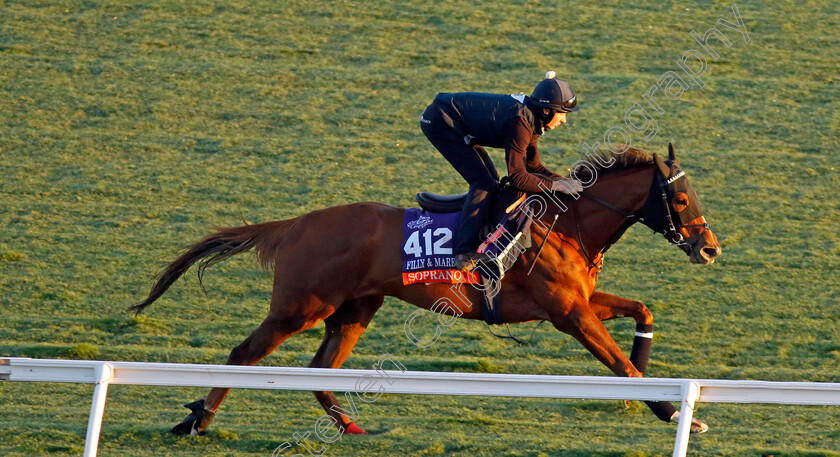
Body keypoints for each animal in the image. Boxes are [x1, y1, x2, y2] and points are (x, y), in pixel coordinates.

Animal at [131, 142, 720, 438]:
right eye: (680, 199)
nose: (709, 248)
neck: (566, 222)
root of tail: (297, 223)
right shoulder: (567, 312)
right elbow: (620, 364)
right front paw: (672, 411)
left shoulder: (577, 302)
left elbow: (642, 311)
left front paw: (655, 387)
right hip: (300, 307)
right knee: (243, 354)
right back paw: (197, 421)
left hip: (355, 309)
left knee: (321, 370)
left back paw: (350, 426)